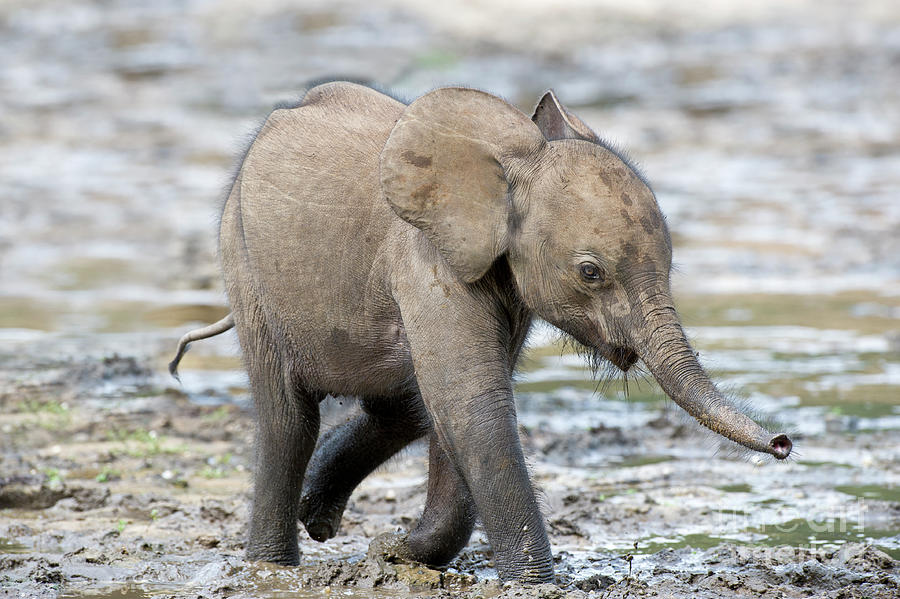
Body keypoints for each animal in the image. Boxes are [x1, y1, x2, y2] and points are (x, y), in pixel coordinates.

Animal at [167, 82, 788, 584]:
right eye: (591, 272)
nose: (783, 443)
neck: (509, 169)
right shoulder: (428, 263)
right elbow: (473, 406)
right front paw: (530, 582)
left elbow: (456, 408)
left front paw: (399, 553)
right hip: (242, 260)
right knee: (288, 418)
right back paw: (271, 565)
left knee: (402, 405)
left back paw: (317, 517)